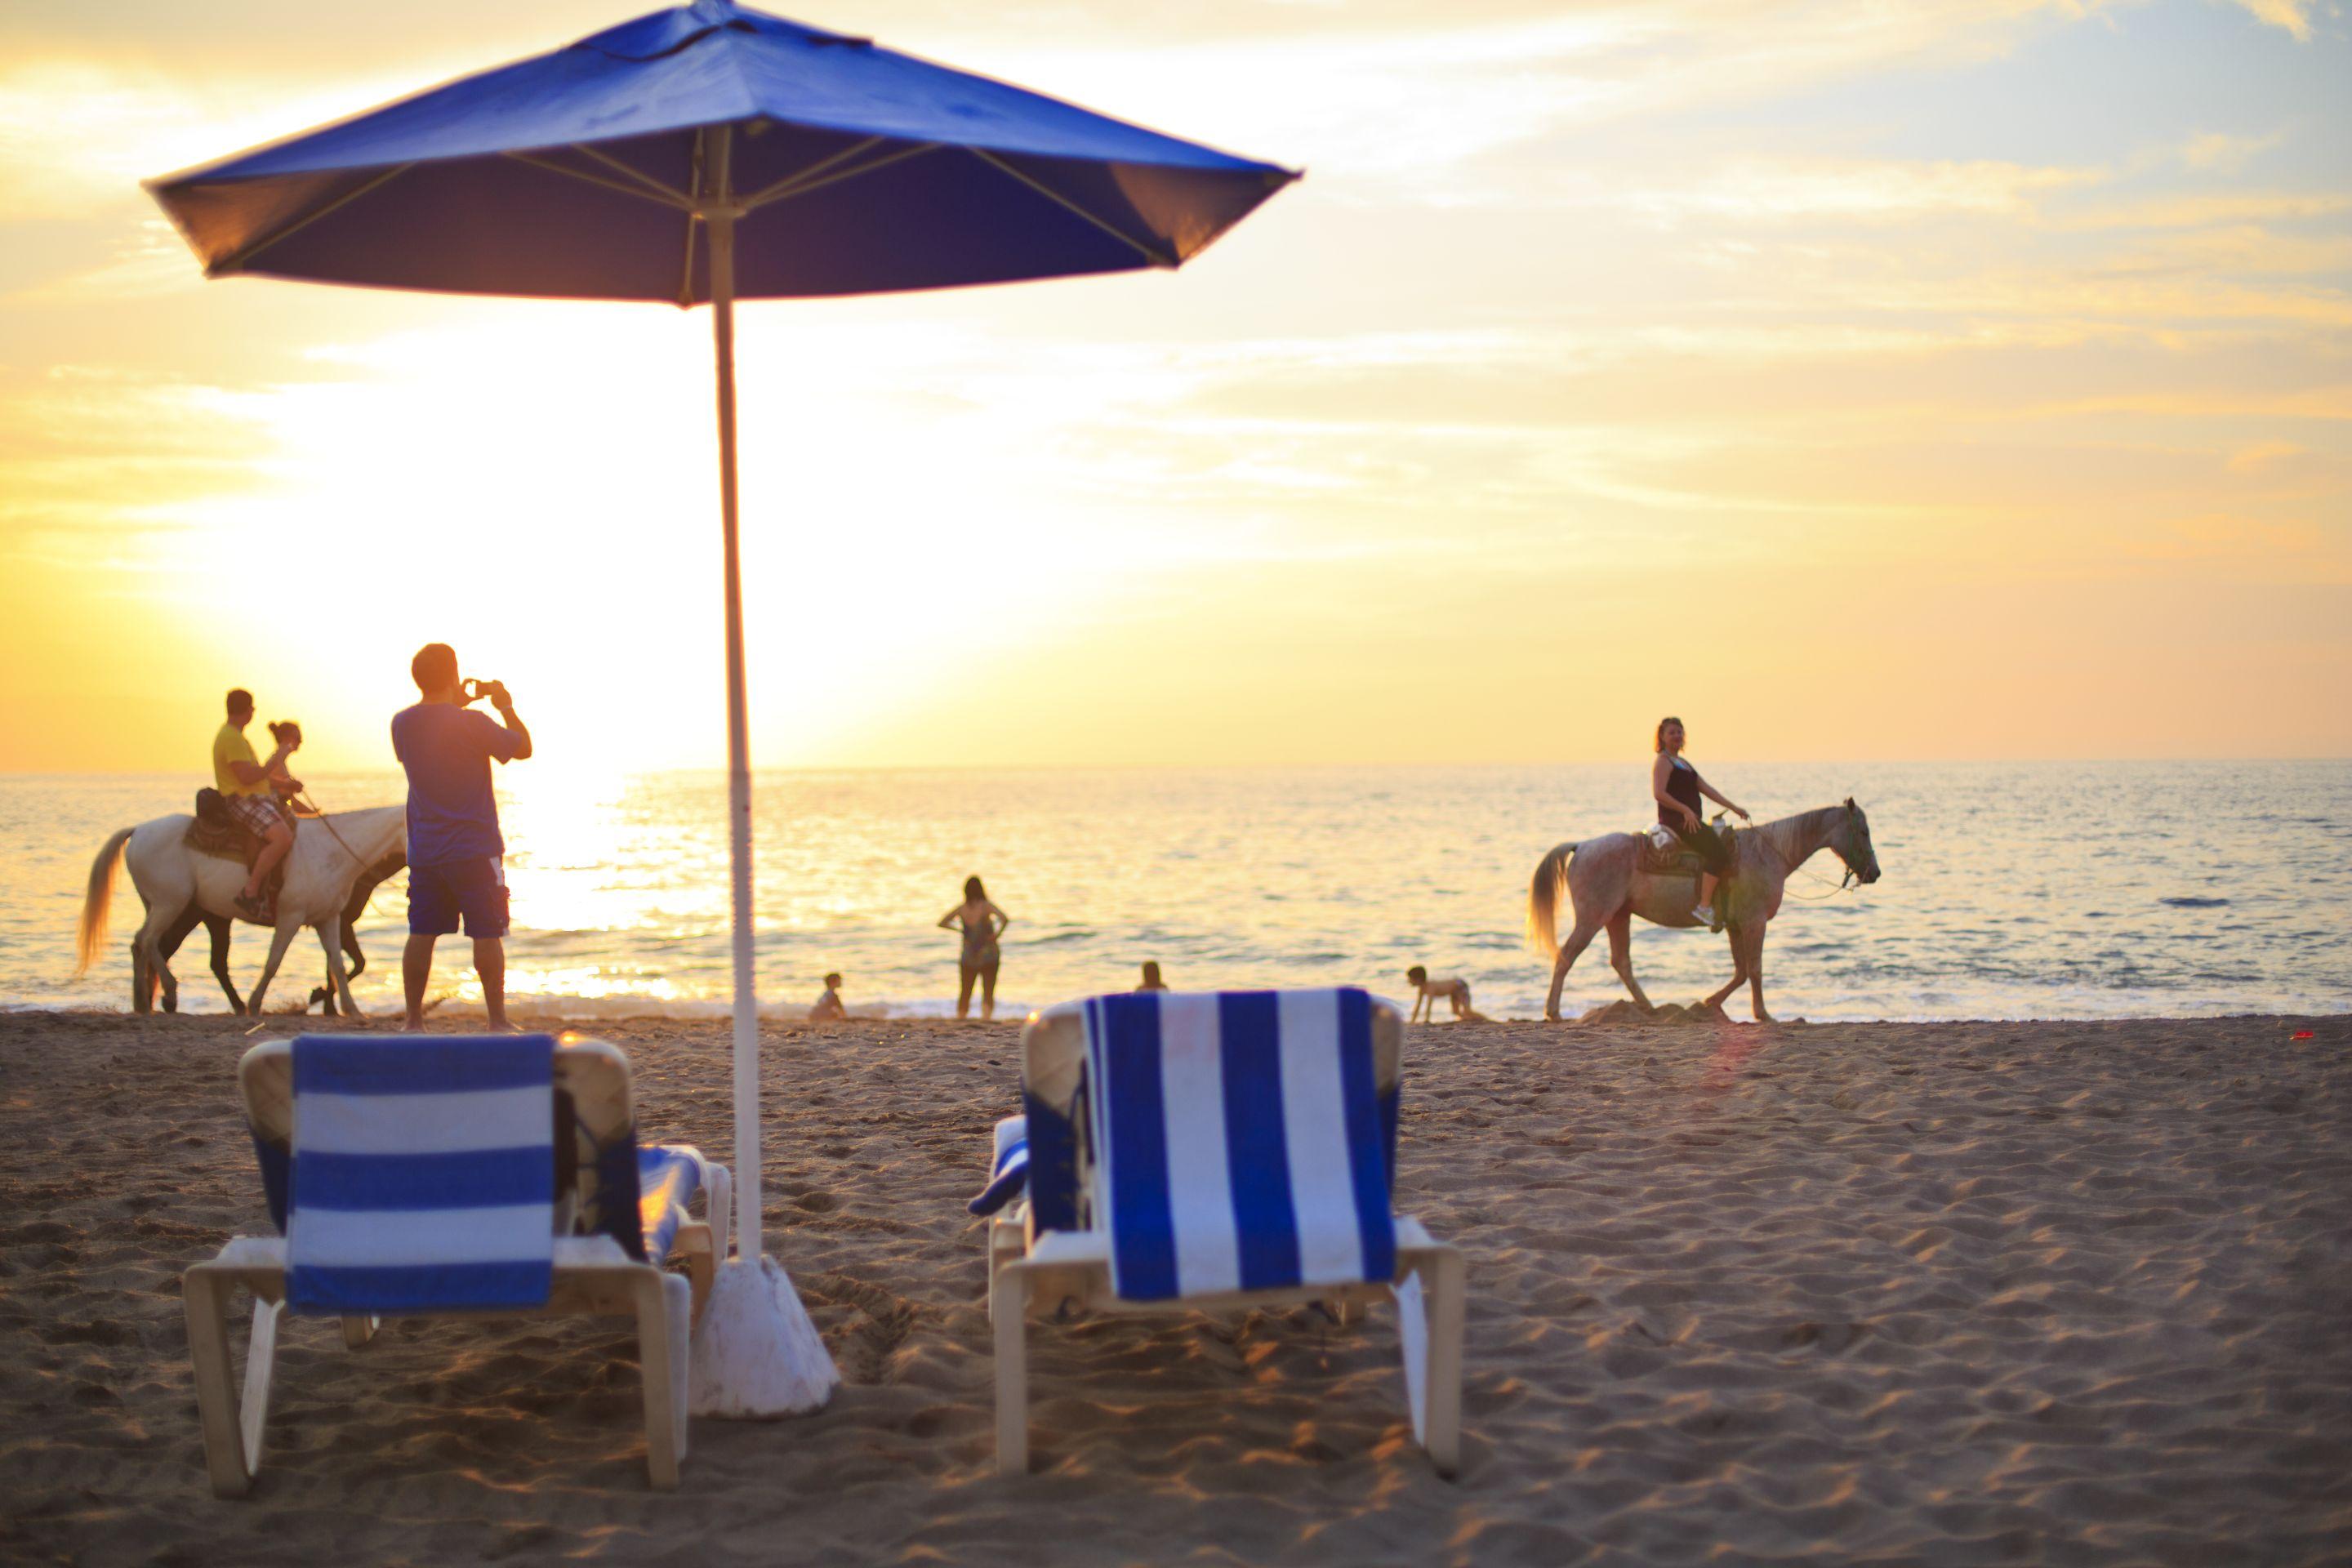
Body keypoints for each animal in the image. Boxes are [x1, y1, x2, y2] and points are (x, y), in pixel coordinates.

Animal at [80, 808, 407, 1020]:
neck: (330, 852)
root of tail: (139, 830)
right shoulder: (291, 917)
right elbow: (274, 962)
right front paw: (256, 1003)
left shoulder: (329, 919)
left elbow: (338, 966)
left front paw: (351, 1009)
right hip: (171, 904)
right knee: (148, 941)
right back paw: (171, 994)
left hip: (168, 907)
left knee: (146, 946)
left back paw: (143, 1002)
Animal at [1533, 804, 1882, 1025]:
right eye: (1863, 831)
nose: (1875, 873)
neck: (1767, 853)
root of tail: (1582, 846)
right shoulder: (1754, 923)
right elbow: (1755, 969)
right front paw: (1763, 1014)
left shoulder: (1735, 926)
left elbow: (1741, 971)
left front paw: (1709, 1002)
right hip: (1593, 917)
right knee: (1566, 956)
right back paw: (1553, 1011)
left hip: (1619, 916)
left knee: (1621, 962)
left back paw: (1649, 1007)